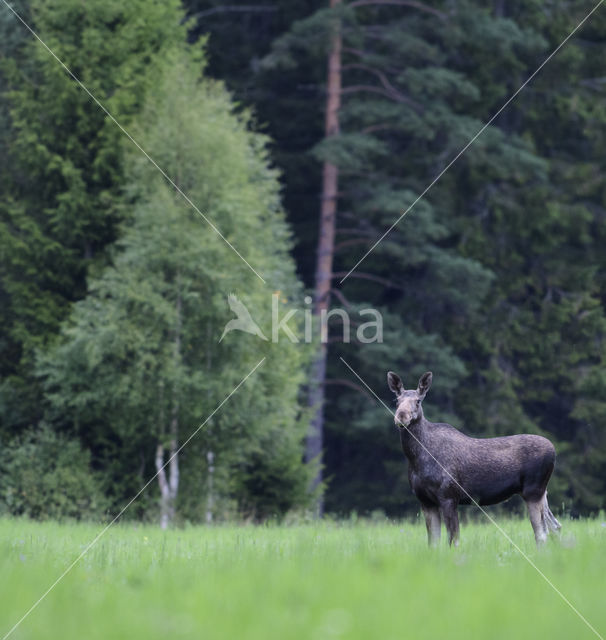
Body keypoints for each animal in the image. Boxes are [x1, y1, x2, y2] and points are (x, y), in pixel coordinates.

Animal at [390, 370, 564, 544]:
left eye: (418, 401)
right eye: (397, 400)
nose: (401, 416)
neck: (416, 458)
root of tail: (554, 450)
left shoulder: (448, 497)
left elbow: (454, 540)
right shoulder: (425, 501)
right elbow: (433, 543)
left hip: (533, 490)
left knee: (542, 533)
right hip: (538, 492)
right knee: (556, 526)